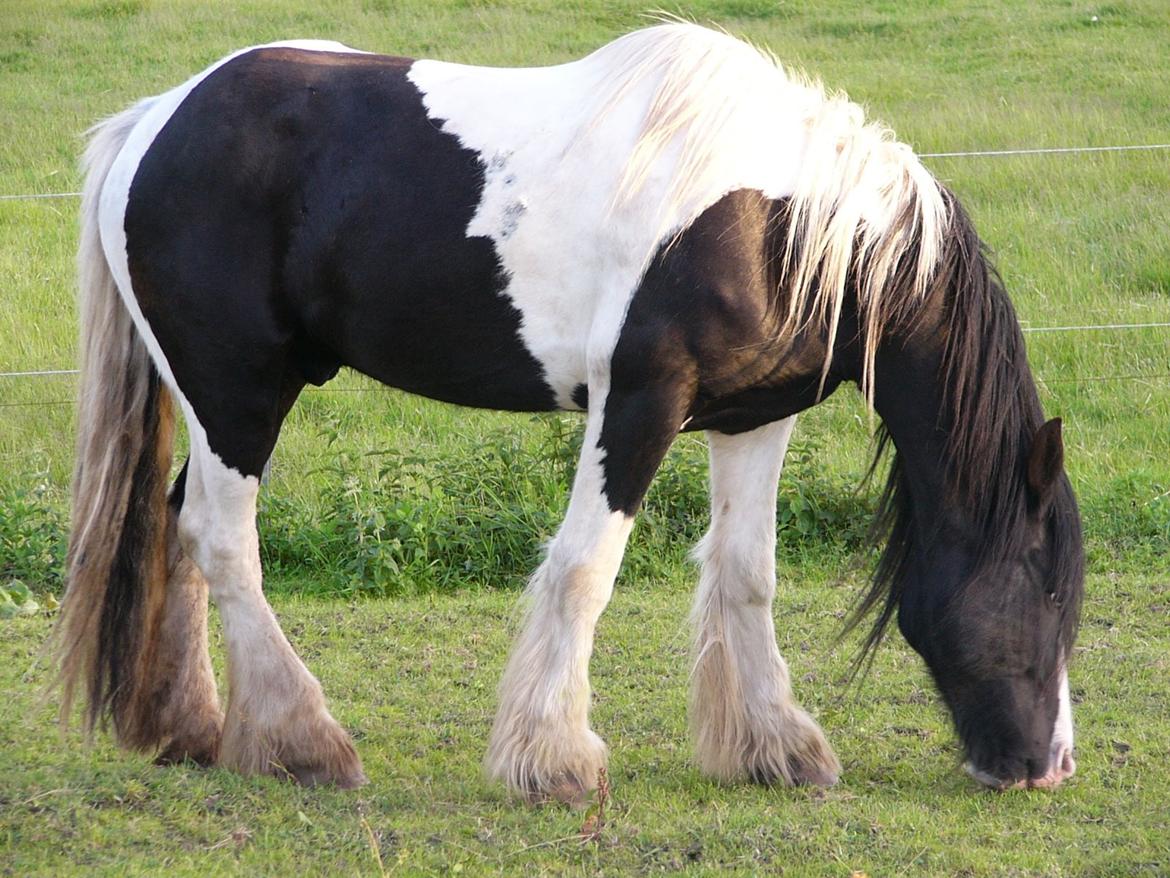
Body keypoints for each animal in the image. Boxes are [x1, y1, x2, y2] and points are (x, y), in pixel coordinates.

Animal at [52, 20, 1076, 805]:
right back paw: (303, 742)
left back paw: (196, 730)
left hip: (222, 399)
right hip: (238, 389)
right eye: (1047, 587)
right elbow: (586, 569)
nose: (1046, 766)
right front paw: (552, 762)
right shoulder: (642, 401)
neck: (776, 220)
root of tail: (155, 122)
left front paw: (776, 748)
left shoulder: (753, 419)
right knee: (222, 538)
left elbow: (747, 574)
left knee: (176, 527)